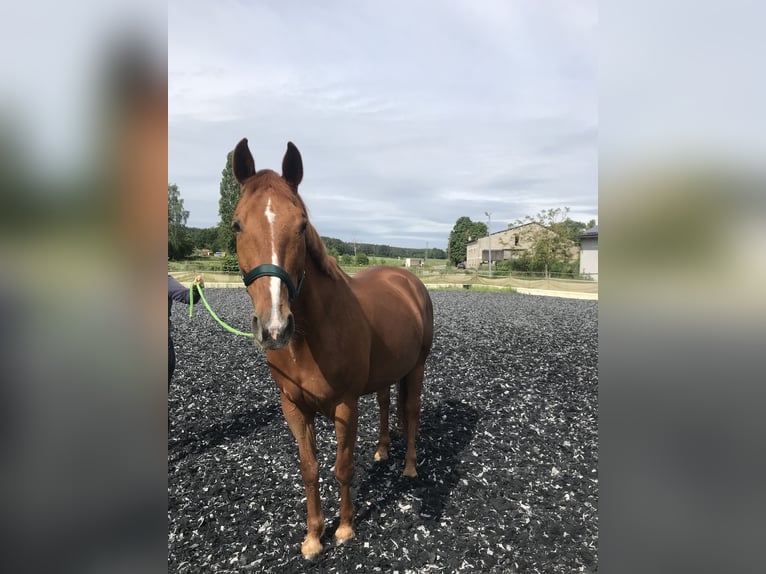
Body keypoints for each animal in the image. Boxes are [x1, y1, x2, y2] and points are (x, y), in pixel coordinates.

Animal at [231, 138, 436, 560]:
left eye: (301, 225)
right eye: (237, 224)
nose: (274, 327)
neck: (309, 339)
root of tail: (408, 279)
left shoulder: (345, 405)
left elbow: (342, 467)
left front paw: (344, 528)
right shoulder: (293, 406)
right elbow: (309, 470)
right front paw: (313, 536)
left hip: (417, 367)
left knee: (410, 411)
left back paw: (408, 467)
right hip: (386, 373)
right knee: (386, 404)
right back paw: (382, 451)